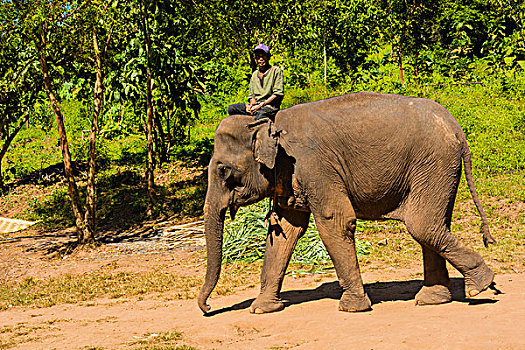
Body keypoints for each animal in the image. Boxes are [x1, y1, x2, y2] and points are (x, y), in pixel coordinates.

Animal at [198, 91, 496, 314]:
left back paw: (480, 287)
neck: (270, 123)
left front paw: (352, 308)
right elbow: (285, 231)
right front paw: (262, 309)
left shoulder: (315, 166)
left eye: (224, 170)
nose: (208, 308)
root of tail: (456, 127)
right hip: (439, 168)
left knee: (422, 225)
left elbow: (335, 221)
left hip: (434, 163)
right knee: (433, 225)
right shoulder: (289, 175)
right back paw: (434, 299)